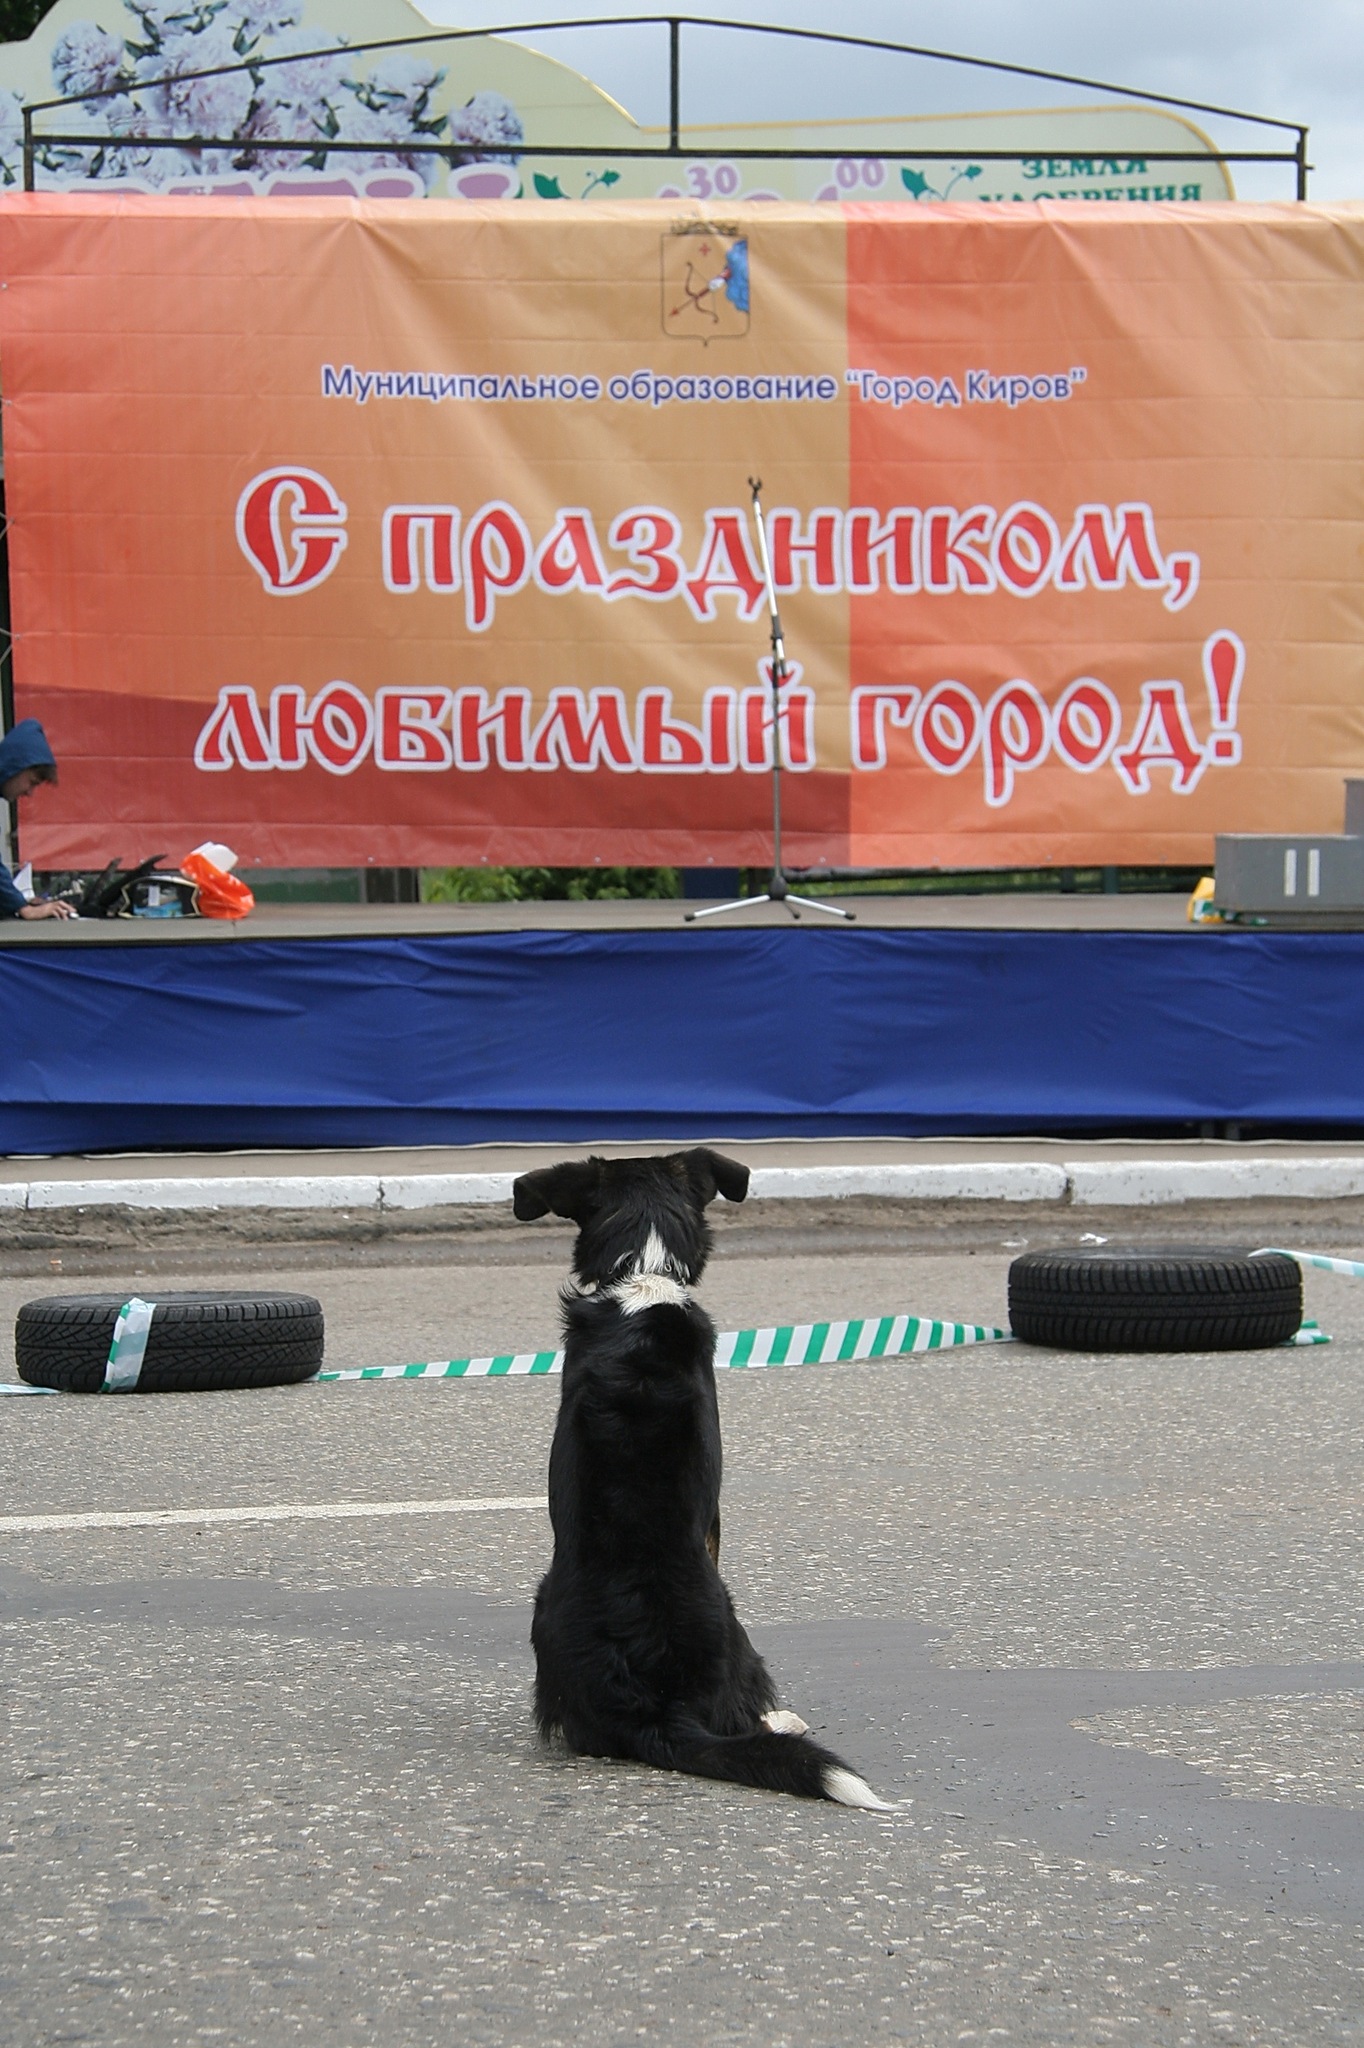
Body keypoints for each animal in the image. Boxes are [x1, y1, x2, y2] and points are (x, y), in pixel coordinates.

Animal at [512, 1147, 889, 1808]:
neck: (643, 1269)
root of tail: (656, 1708)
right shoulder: (714, 1518)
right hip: (735, 1624)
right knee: (743, 1713)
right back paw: (782, 1720)